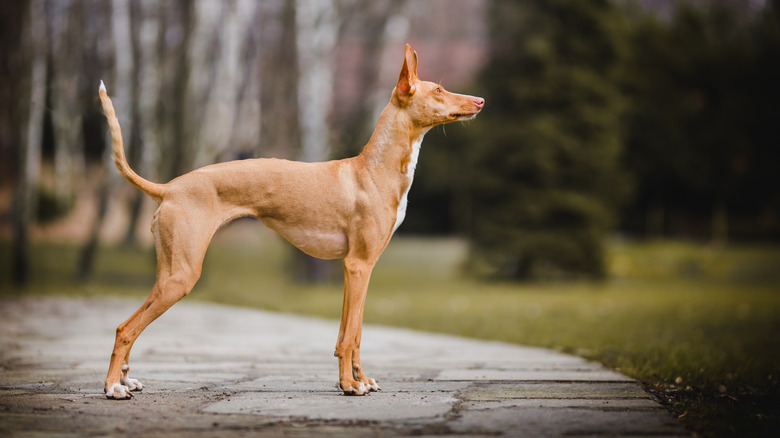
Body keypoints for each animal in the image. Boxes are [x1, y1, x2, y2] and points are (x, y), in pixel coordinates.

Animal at [100, 45, 484, 400]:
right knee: (124, 329)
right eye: (438, 90)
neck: (375, 168)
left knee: (129, 324)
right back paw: (112, 387)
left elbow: (354, 333)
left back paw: (125, 379)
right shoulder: (358, 265)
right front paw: (349, 386)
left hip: (168, 271)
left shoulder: (361, 268)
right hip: (182, 275)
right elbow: (349, 336)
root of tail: (169, 188)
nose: (480, 100)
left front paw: (361, 379)